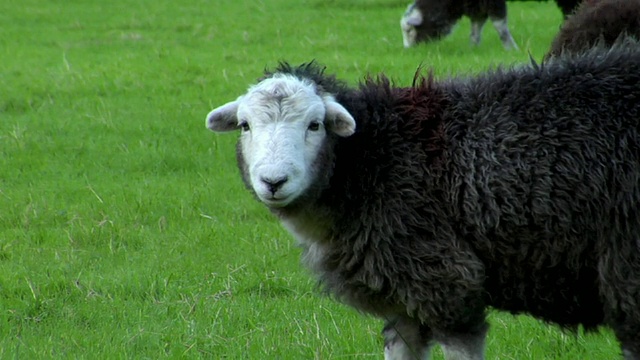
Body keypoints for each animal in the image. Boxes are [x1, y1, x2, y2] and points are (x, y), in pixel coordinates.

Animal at [204, 42, 640, 358]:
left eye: (314, 125)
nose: (273, 181)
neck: (373, 163)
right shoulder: (401, 296)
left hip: (626, 262)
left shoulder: (443, 278)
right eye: (245, 125)